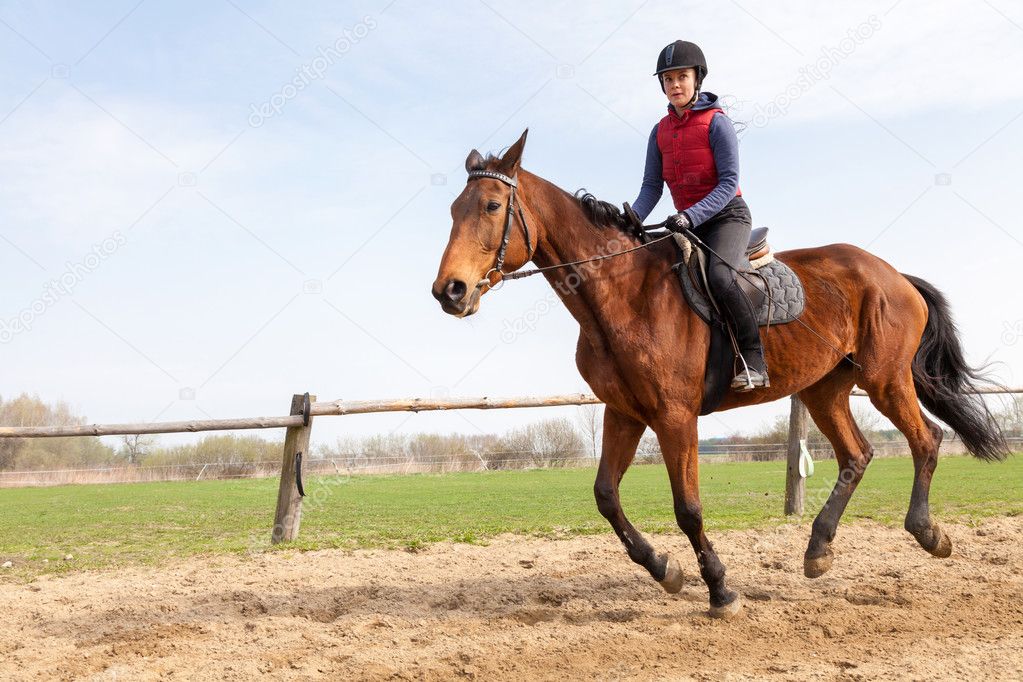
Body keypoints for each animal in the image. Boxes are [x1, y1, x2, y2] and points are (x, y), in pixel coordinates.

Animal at [429, 129, 1006, 617]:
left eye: (492, 205)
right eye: (454, 210)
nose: (449, 291)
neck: (623, 294)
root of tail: (893, 275)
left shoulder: (674, 417)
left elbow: (687, 508)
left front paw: (720, 589)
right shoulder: (624, 413)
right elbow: (606, 496)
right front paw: (665, 570)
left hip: (884, 379)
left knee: (926, 440)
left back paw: (928, 533)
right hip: (825, 389)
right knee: (857, 456)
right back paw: (818, 550)